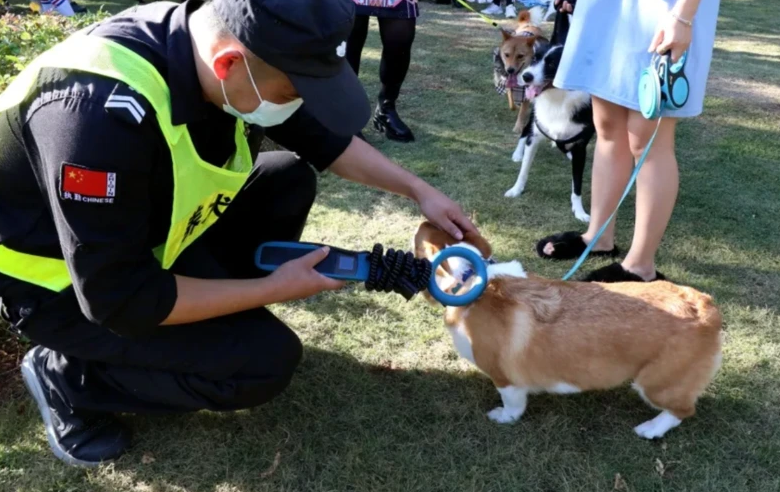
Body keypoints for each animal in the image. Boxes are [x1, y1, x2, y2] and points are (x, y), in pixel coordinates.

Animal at [414, 222, 724, 438]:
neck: (472, 279)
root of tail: (706, 306)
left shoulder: (505, 378)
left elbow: (513, 404)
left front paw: (503, 417)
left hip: (656, 383)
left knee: (682, 410)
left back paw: (650, 429)